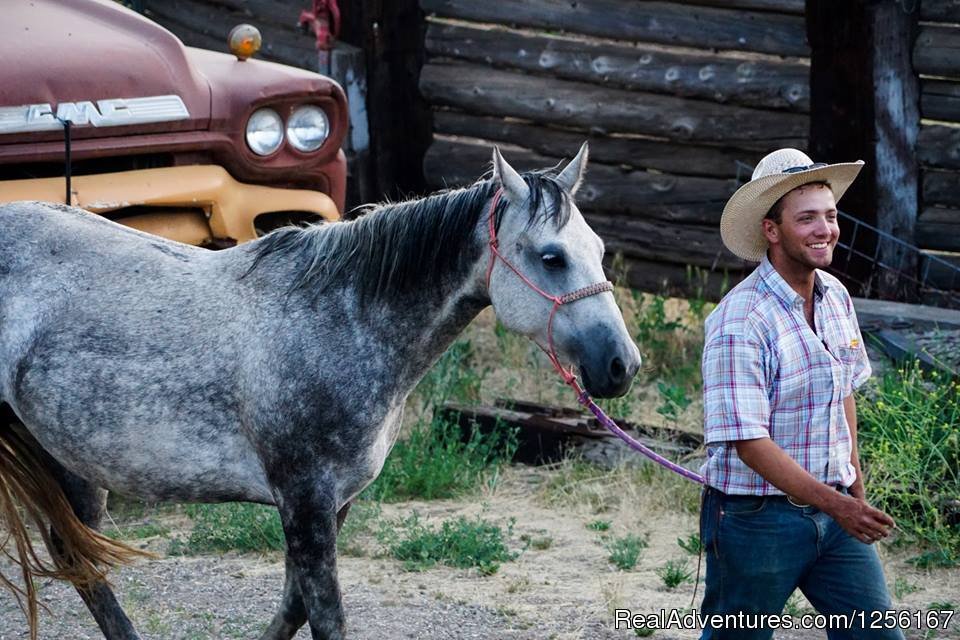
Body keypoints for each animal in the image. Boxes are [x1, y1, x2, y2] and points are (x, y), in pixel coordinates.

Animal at [1, 142, 644, 636]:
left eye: (598, 250)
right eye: (551, 257)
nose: (622, 364)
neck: (337, 318)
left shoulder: (334, 503)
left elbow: (292, 611)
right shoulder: (305, 499)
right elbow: (324, 616)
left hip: (73, 464)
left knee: (78, 559)